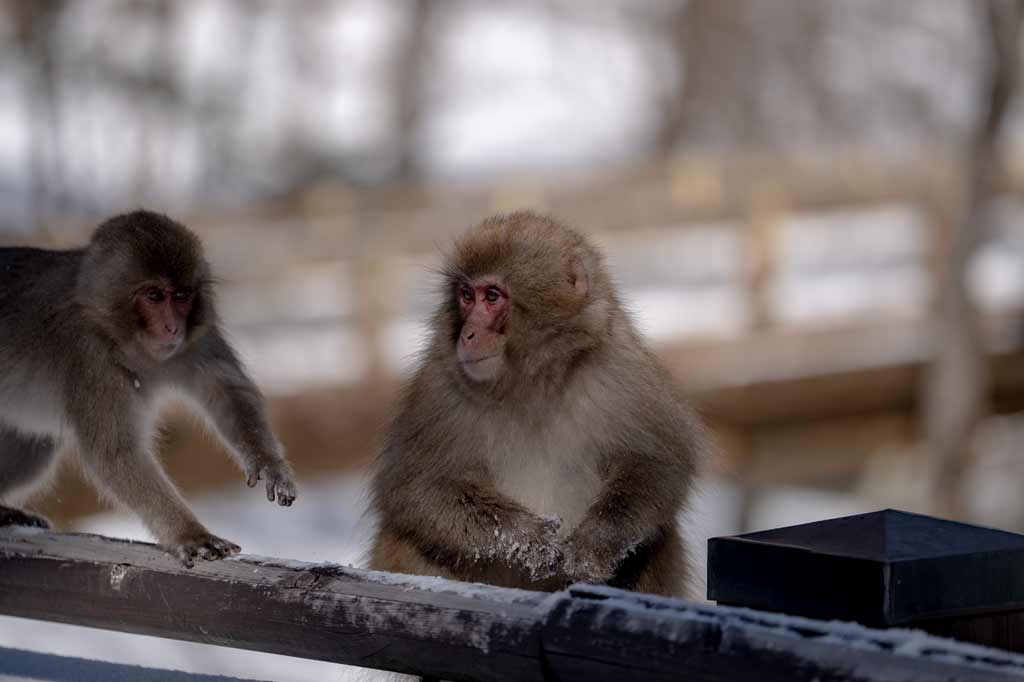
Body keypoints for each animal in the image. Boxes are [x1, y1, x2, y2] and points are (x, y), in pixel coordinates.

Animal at [0, 209, 296, 565]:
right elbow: (116, 452)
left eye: (181, 296)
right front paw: (190, 534)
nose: (172, 328)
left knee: (33, 449)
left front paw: (268, 462)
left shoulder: (199, 333)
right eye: (154, 296)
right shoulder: (89, 357)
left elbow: (228, 391)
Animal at [372, 209, 708, 593]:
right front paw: (528, 539)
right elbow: (416, 489)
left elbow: (657, 464)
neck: (533, 383)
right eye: (466, 296)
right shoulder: (439, 390)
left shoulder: (623, 372)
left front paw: (595, 543)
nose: (467, 335)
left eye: (492, 296)